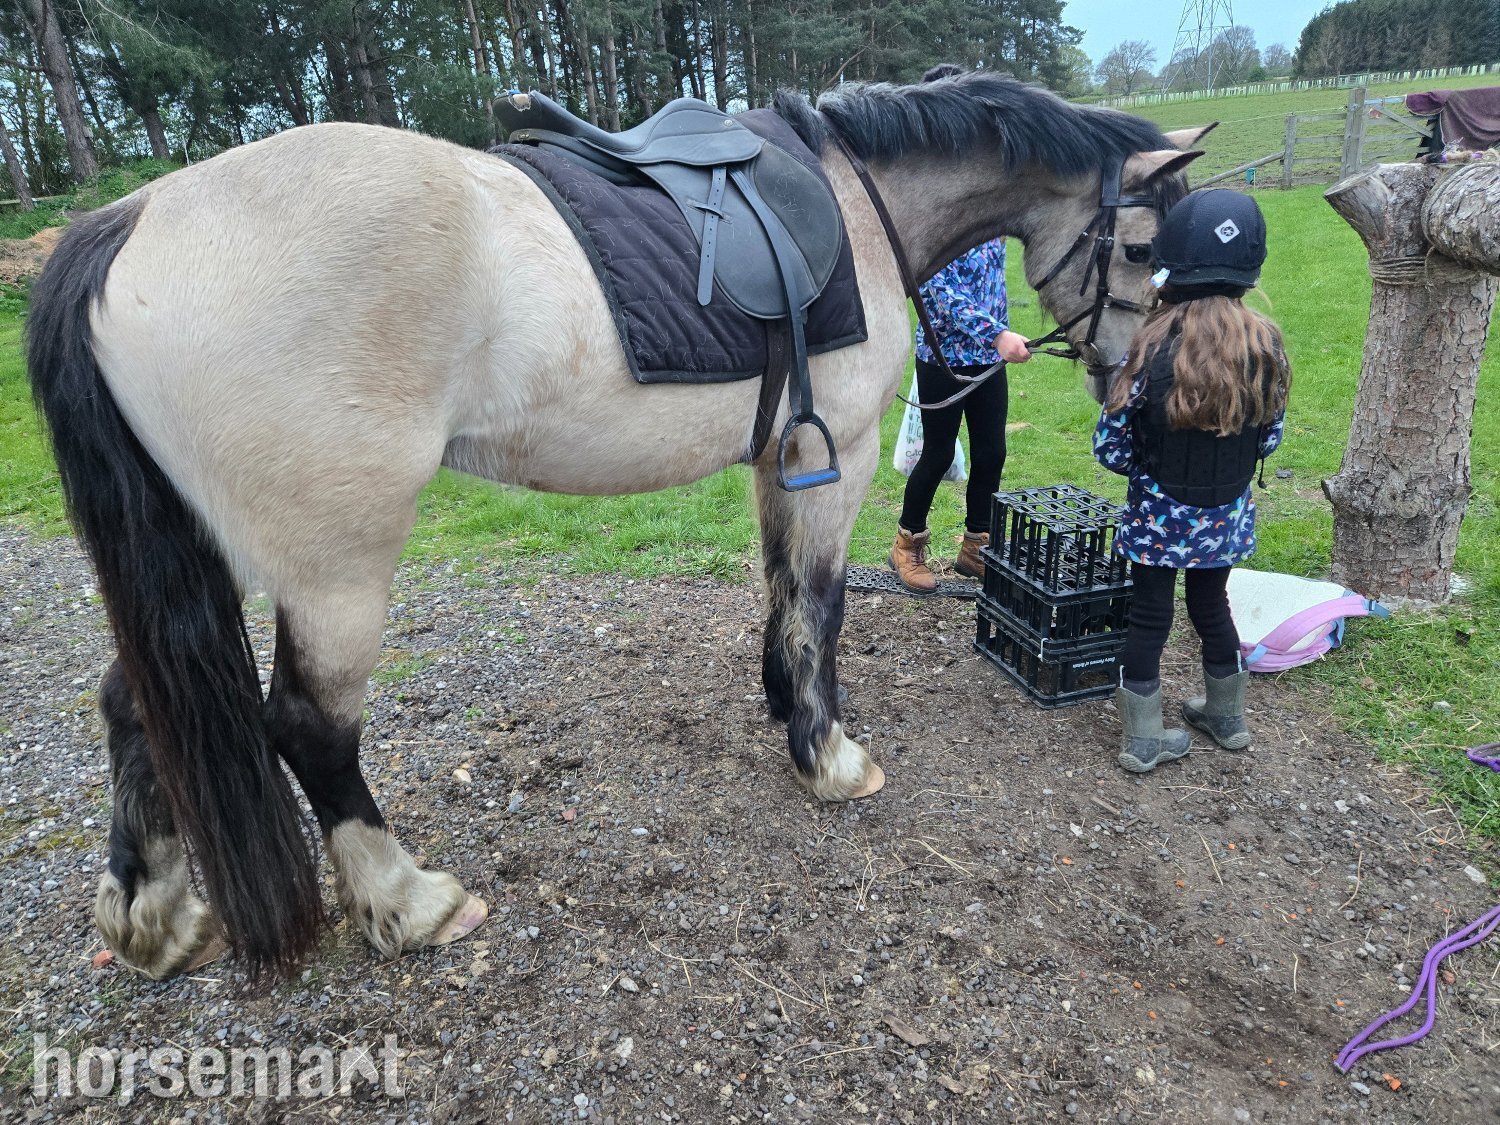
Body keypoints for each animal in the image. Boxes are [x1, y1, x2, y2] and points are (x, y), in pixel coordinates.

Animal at [27, 72, 1209, 979]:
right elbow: (820, 607)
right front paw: (827, 753)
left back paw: (150, 915)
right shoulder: (843, 454)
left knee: (134, 704)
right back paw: (407, 899)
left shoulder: (783, 453)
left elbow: (780, 594)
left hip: (206, 557)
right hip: (333, 570)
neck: (853, 202)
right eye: (1143, 248)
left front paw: (781, 706)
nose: (1131, 385)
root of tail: (132, 220)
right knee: (311, 731)